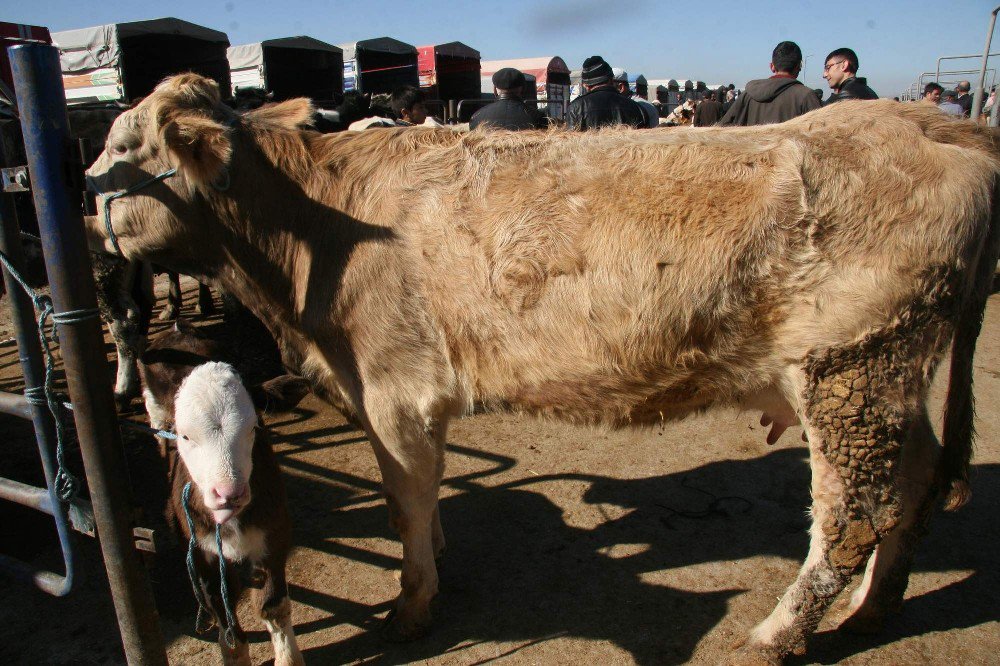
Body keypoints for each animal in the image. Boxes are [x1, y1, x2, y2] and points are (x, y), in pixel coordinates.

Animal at [139, 320, 306, 660]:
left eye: (255, 427)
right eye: (184, 435)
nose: (228, 493)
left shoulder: (275, 533)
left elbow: (273, 606)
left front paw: (288, 658)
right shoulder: (200, 552)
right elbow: (224, 619)